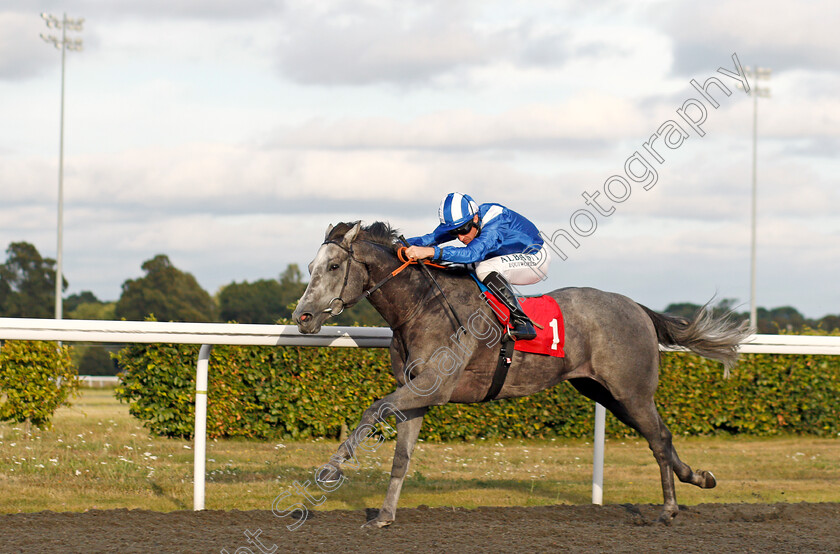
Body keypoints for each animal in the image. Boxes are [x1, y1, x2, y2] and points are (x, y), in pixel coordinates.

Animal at [294, 219, 748, 520]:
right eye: (311, 266)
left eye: (333, 267)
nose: (302, 316)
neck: (420, 306)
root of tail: (636, 306)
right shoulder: (418, 391)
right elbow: (402, 455)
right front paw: (385, 515)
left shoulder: (434, 386)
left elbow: (373, 410)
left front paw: (329, 470)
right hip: (604, 392)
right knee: (659, 437)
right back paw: (699, 478)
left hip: (631, 391)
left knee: (659, 438)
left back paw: (670, 508)